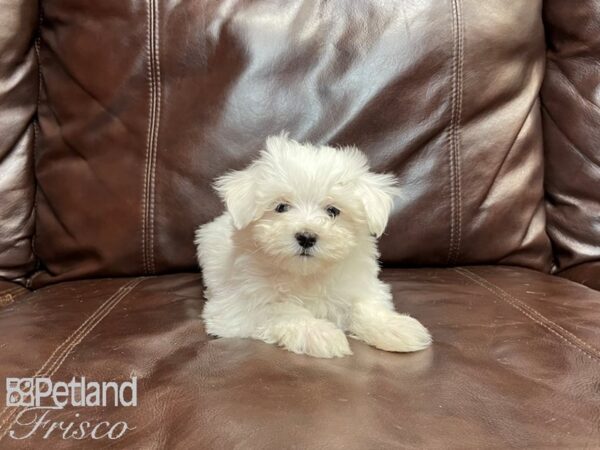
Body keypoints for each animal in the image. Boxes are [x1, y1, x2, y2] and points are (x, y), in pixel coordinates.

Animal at [197, 134, 432, 358]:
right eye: (281, 207)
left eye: (333, 211)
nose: (307, 236)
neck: (305, 274)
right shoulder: (238, 307)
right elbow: (281, 310)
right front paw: (321, 334)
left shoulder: (358, 285)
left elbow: (363, 305)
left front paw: (395, 327)